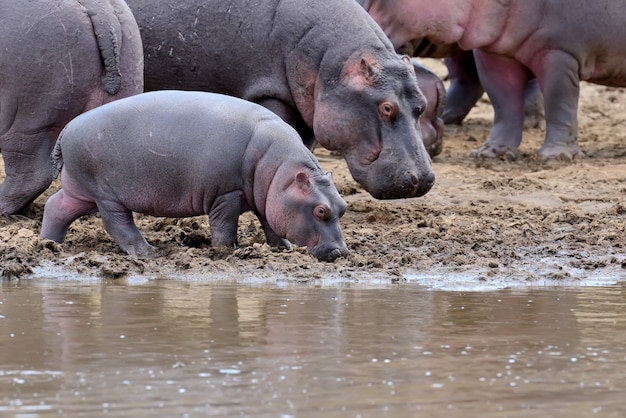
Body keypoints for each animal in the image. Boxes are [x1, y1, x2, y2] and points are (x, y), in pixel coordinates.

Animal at [40, 91, 348, 262]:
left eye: (343, 207)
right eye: (320, 210)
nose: (341, 253)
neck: (281, 174)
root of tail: (67, 128)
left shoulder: (269, 198)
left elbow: (271, 224)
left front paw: (283, 248)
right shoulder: (227, 194)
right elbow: (224, 226)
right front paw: (227, 251)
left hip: (81, 190)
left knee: (56, 207)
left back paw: (49, 244)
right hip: (105, 194)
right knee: (118, 224)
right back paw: (148, 252)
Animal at [123, 0, 434, 199]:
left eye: (422, 106)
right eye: (386, 107)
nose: (423, 179)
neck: (333, 64)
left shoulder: (309, 111)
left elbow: (303, 145)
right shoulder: (270, 93)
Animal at [356, 0, 626, 160]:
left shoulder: (559, 52)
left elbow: (559, 102)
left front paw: (553, 156)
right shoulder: (494, 52)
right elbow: (503, 103)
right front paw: (489, 153)